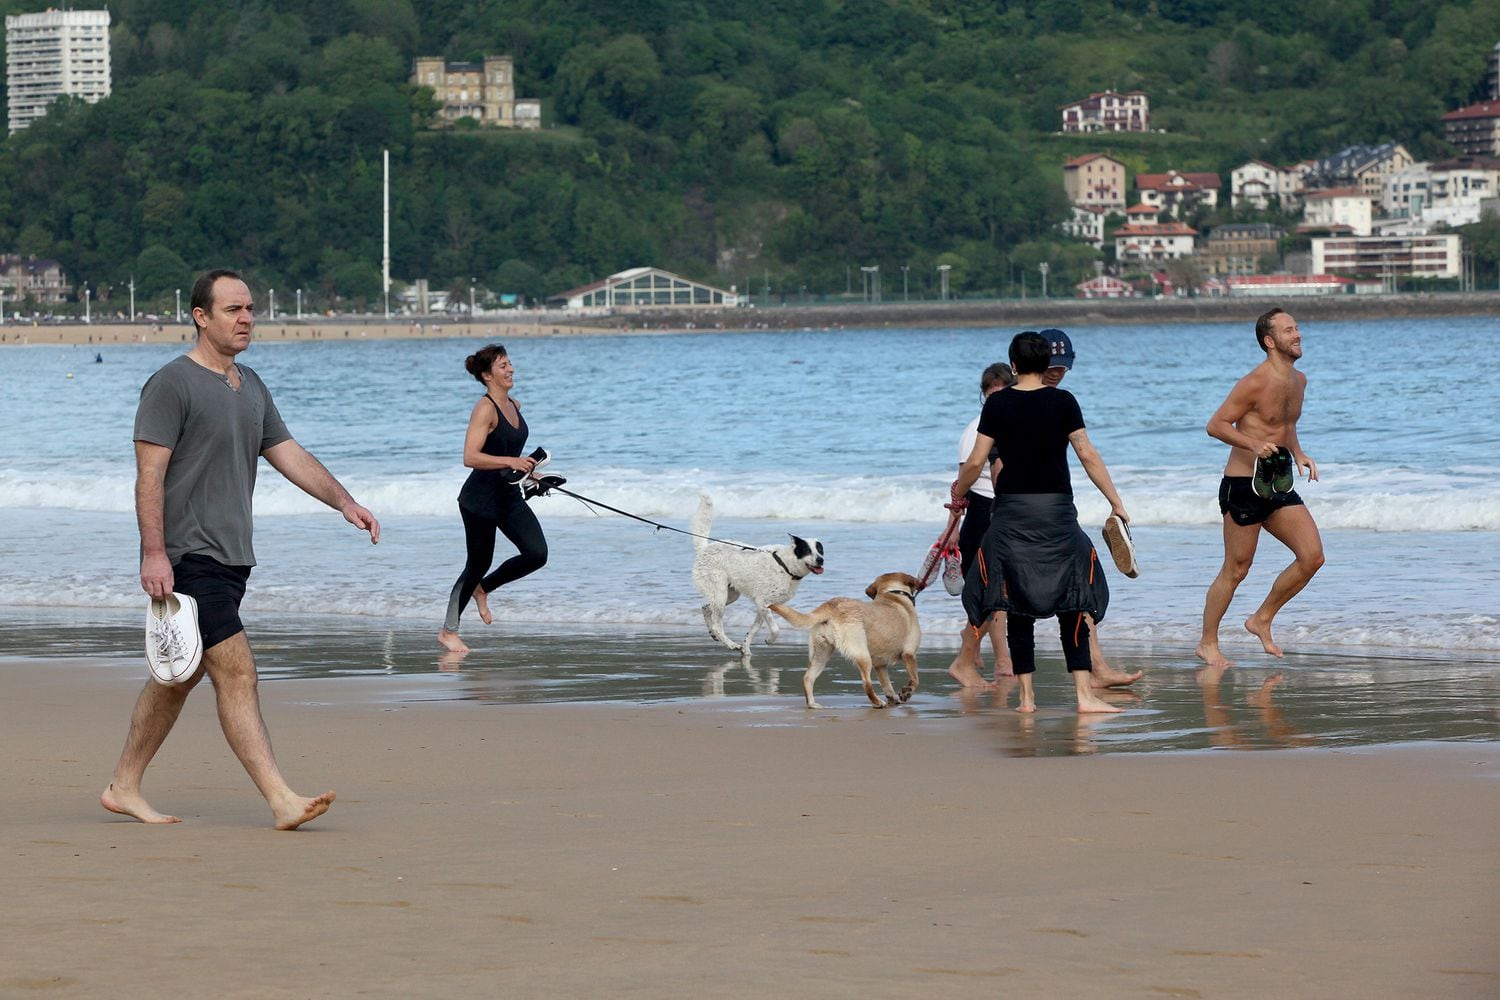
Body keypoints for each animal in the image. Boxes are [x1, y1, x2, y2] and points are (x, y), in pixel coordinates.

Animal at [687, 494, 828, 656]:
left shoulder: (763, 607)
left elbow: (753, 630)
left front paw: (746, 649)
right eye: (807, 550)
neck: (785, 565)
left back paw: (713, 633)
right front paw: (769, 640)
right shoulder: (763, 603)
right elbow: (776, 629)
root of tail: (704, 548)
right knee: (717, 624)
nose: (820, 560)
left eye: (820, 550)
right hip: (720, 593)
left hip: (730, 595)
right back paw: (730, 644)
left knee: (705, 607)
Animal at [768, 575, 918, 707]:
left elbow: (887, 685)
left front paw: (893, 698)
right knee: (866, 683)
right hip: (862, 654)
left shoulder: (880, 665)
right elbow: (915, 679)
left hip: (820, 654)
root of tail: (830, 605)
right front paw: (906, 693)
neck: (893, 594)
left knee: (808, 678)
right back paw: (877, 702)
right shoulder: (909, 653)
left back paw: (812, 704)